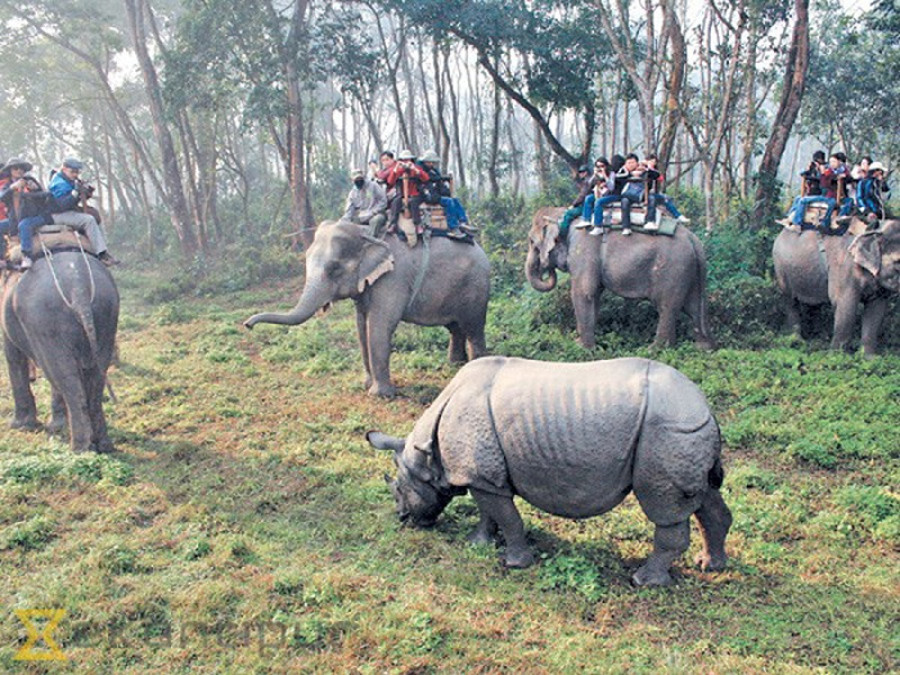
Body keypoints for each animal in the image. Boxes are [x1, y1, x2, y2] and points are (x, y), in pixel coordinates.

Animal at [1, 251, 119, 452]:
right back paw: (103, 445)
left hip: (45, 322)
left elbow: (13, 356)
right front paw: (57, 425)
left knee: (63, 375)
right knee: (95, 375)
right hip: (106, 315)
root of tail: (78, 287)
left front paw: (20, 426)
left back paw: (80, 448)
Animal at [243, 219, 488, 396]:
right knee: (455, 327)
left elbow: (378, 326)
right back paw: (455, 365)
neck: (367, 234)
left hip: (476, 288)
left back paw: (475, 367)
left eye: (334, 268)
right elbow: (361, 326)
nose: (247, 325)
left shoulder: (393, 278)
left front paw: (380, 395)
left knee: (473, 327)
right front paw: (366, 385)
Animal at [366, 356, 732, 588]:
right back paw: (710, 564)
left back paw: (644, 581)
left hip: (668, 430)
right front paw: (478, 543)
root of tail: (705, 406)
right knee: (704, 497)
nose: (403, 518)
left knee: (664, 507)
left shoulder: (481, 472)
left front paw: (515, 563)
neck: (426, 454)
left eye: (398, 489)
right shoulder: (482, 475)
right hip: (685, 430)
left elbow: (508, 517)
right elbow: (489, 511)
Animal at [524, 209, 712, 352]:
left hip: (673, 268)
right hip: (690, 270)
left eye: (532, 241)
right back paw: (703, 348)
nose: (546, 267)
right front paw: (583, 343)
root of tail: (693, 240)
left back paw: (653, 350)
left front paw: (583, 349)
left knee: (667, 307)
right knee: (693, 306)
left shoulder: (583, 250)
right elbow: (595, 294)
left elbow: (583, 292)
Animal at [772, 220, 900, 360]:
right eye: (898, 262)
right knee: (791, 301)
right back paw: (796, 341)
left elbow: (876, 310)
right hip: (781, 269)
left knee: (813, 305)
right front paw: (837, 358)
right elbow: (845, 305)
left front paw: (870, 358)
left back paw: (816, 341)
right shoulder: (844, 269)